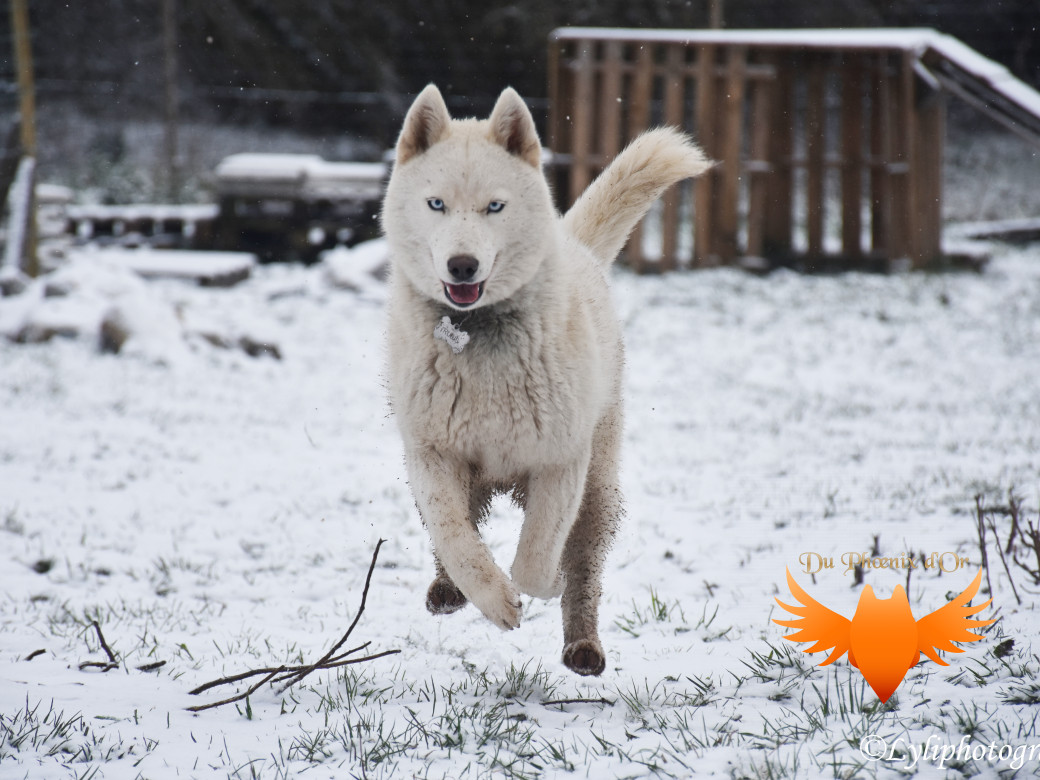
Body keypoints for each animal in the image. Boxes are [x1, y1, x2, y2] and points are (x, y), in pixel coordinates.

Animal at [386, 85, 711, 678]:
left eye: (495, 206)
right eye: (436, 204)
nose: (462, 265)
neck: (479, 335)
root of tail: (575, 245)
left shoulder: (561, 461)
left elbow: (539, 556)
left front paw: (540, 582)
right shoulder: (431, 453)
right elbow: (456, 538)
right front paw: (492, 599)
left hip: (599, 486)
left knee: (584, 569)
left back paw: (583, 644)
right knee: (458, 534)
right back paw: (448, 590)